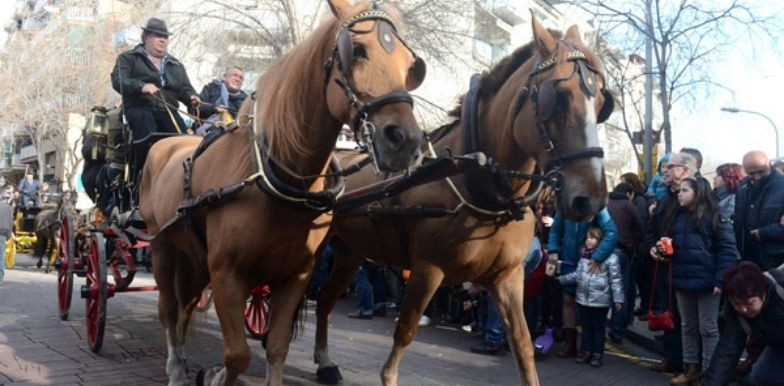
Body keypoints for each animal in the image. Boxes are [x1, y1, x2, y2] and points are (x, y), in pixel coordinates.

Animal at [138, 1, 426, 384]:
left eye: (411, 66)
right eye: (357, 50)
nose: (405, 140)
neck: (278, 181)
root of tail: (166, 142)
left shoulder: (296, 276)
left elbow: (276, 347)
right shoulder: (227, 275)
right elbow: (237, 355)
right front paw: (214, 374)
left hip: (193, 255)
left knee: (185, 305)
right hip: (162, 247)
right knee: (169, 308)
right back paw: (175, 368)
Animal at [310, 16, 612, 384]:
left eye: (602, 103)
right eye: (560, 97)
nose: (590, 199)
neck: (477, 182)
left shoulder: (508, 277)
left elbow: (523, 345)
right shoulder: (427, 269)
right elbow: (405, 331)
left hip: (350, 252)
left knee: (325, 299)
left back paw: (325, 363)